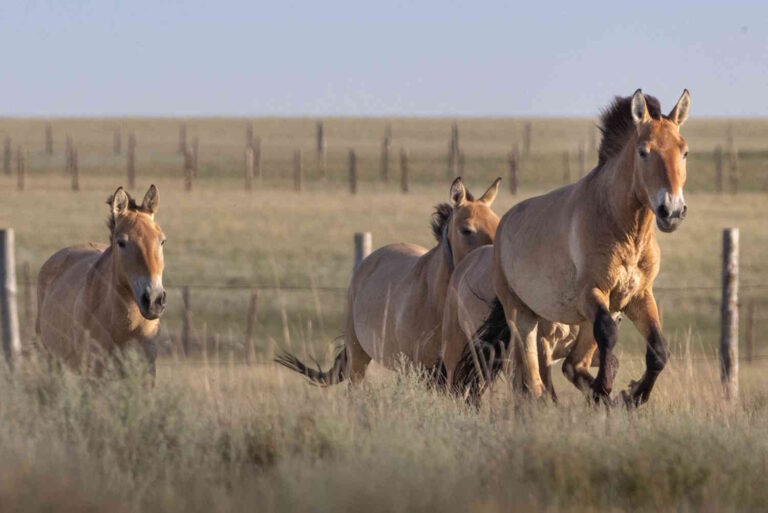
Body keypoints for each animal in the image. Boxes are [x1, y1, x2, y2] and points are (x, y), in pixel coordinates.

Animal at [455, 89, 690, 407]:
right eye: (644, 151)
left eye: (684, 151)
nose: (672, 210)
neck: (624, 231)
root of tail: (503, 226)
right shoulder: (591, 294)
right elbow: (609, 334)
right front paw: (607, 389)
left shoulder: (637, 298)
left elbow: (658, 351)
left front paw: (632, 395)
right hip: (522, 317)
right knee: (535, 382)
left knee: (570, 366)